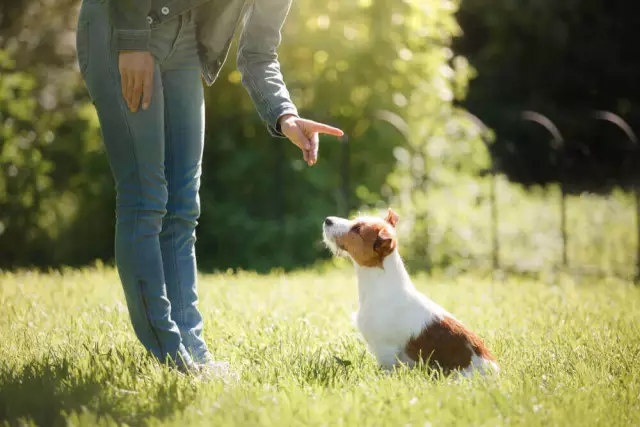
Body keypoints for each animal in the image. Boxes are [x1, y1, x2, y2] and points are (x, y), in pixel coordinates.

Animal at [322, 209, 498, 380]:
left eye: (357, 229)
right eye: (354, 220)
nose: (327, 220)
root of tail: (496, 372)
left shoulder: (386, 352)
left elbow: (384, 374)